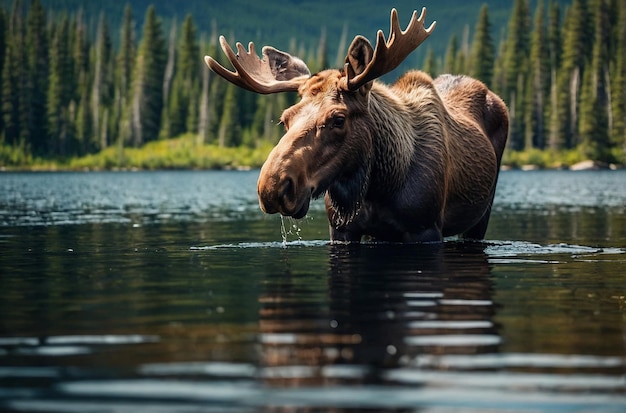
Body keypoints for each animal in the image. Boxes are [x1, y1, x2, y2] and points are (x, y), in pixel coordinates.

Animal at [205, 6, 508, 243]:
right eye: (285, 118)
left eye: (338, 119)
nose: (273, 188)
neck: (379, 185)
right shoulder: (342, 230)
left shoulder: (426, 229)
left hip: (482, 214)